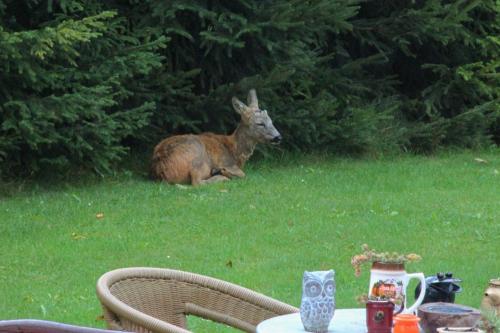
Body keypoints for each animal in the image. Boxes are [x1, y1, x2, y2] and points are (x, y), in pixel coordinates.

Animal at [150, 89, 284, 185]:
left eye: (271, 120)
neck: (235, 151)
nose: (278, 137)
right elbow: (243, 174)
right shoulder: (226, 162)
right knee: (197, 182)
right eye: (260, 123)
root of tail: (161, 171)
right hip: (199, 158)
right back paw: (221, 176)